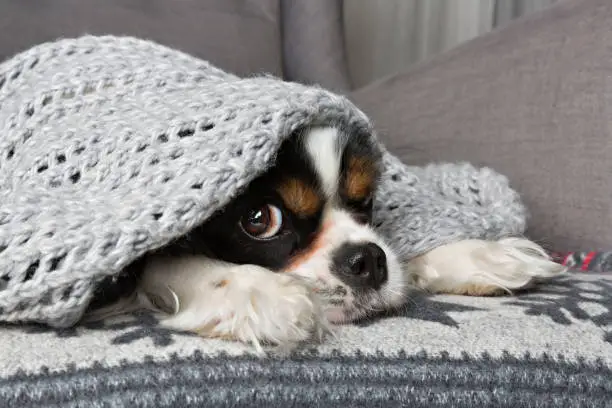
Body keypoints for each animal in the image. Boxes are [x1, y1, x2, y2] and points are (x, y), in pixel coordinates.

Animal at [88, 126, 568, 350]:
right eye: (259, 220)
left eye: (367, 201)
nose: (367, 261)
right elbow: (167, 262)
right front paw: (258, 290)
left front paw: (484, 255)